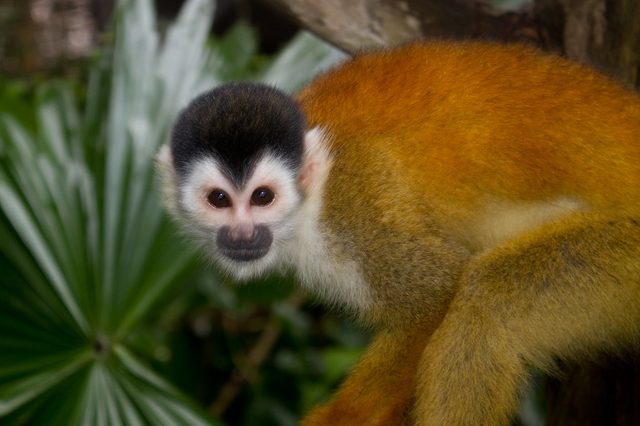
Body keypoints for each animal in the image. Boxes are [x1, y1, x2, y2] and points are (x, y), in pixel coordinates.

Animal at [156, 41, 640, 425]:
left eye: (262, 196)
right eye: (219, 199)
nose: (242, 234)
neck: (311, 199)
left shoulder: (356, 204)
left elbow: (434, 297)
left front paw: (342, 419)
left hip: (628, 254)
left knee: (487, 302)